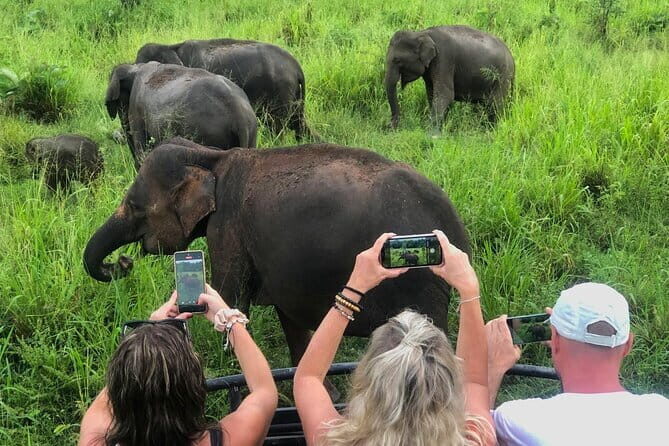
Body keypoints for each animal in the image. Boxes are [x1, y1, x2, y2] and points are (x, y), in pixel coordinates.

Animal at [83, 137, 470, 371]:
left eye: (135, 207)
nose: (123, 262)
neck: (210, 156)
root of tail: (454, 223)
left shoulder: (227, 227)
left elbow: (231, 298)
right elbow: (289, 317)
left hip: (421, 280)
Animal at [105, 62, 257, 169]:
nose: (116, 136)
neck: (135, 67)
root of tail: (239, 114)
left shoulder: (136, 108)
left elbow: (142, 149)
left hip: (206, 133)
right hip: (251, 134)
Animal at [135, 39, 314, 140]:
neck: (170, 46)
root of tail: (297, 67)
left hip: (281, 91)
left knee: (278, 126)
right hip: (294, 95)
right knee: (298, 124)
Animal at [385, 25, 515, 131]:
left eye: (397, 60)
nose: (391, 127)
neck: (422, 33)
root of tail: (513, 59)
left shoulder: (444, 58)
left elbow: (445, 94)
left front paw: (432, 133)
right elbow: (432, 93)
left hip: (502, 77)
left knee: (495, 104)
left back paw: (490, 131)